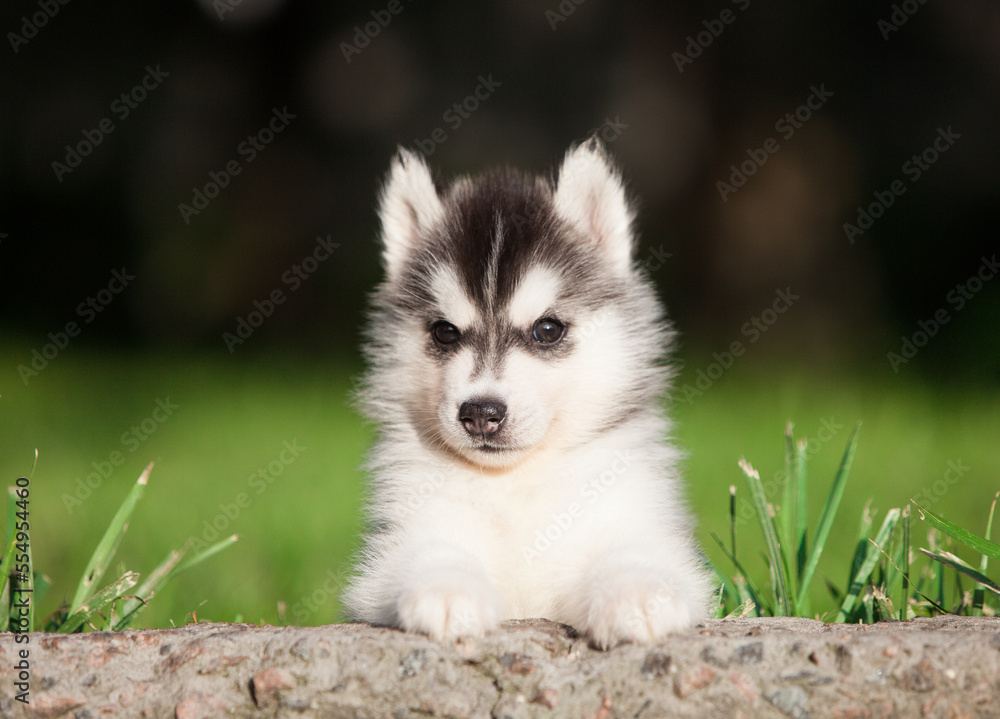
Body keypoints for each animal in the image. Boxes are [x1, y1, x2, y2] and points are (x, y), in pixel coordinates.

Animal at [344, 139, 712, 648]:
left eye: (547, 330)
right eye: (444, 332)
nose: (481, 412)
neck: (514, 483)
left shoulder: (627, 519)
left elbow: (631, 553)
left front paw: (637, 593)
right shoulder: (399, 545)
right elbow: (430, 552)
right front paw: (447, 591)